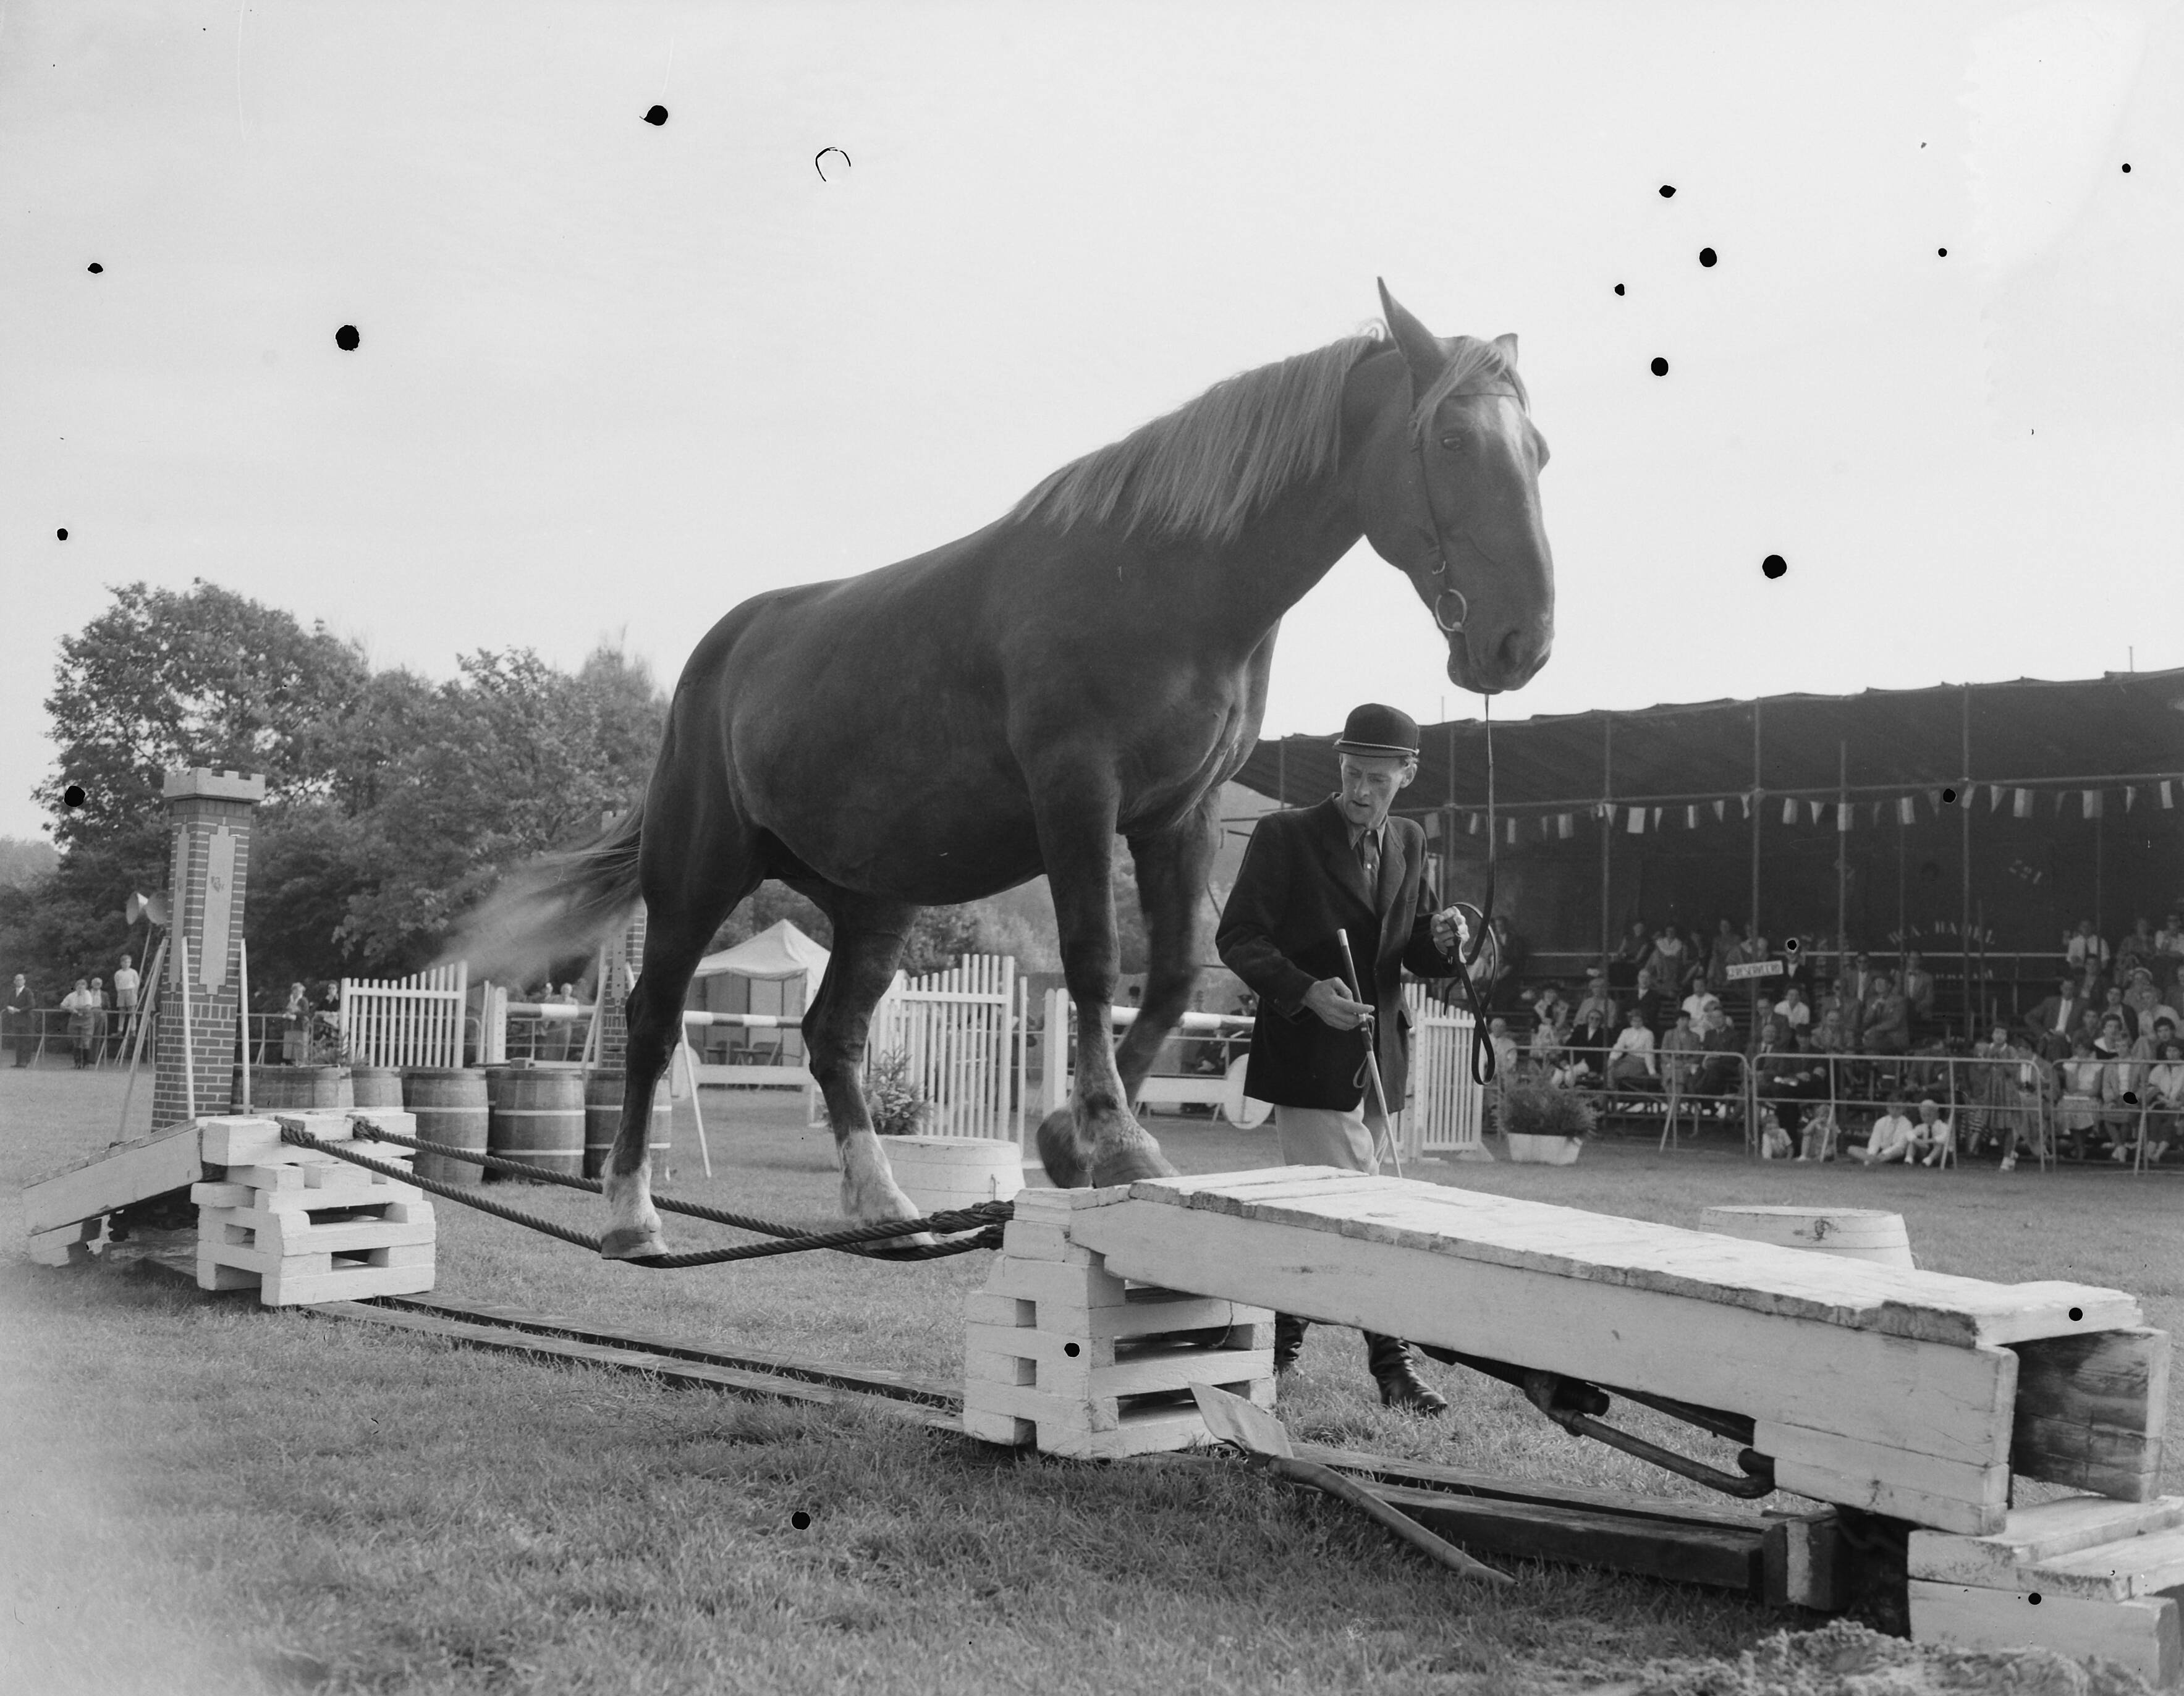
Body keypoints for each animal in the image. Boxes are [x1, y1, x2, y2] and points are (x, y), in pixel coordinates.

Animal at [452, 281, 1555, 1260]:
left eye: (1537, 452)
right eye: (1452, 443)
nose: (1522, 642)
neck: (1167, 584)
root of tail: (711, 662)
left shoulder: (1179, 816)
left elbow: (1171, 976)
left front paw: (1071, 1139)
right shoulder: (1079, 795)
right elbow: (1096, 961)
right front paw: (1111, 1136)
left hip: (873, 903)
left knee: (830, 1036)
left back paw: (884, 1204)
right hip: (697, 876)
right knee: (651, 1020)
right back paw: (632, 1216)